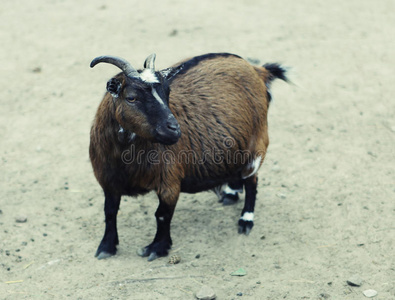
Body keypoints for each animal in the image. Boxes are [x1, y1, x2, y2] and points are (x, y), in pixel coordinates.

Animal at [89, 53, 288, 260]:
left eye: (167, 92)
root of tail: (257, 70)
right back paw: (230, 193)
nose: (174, 130)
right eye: (131, 98)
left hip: (256, 144)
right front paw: (106, 247)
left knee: (252, 181)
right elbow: (110, 212)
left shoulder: (169, 182)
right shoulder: (108, 181)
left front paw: (157, 248)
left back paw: (245, 220)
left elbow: (162, 215)